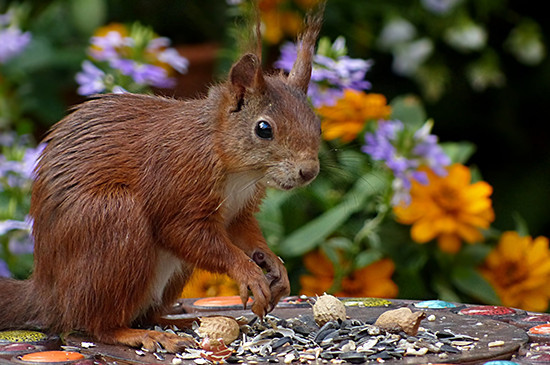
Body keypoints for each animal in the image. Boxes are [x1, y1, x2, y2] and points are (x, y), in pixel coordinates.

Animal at [0, 1, 326, 352]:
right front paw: (248, 271)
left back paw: (182, 323)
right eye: (264, 129)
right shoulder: (177, 179)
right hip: (112, 219)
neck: (238, 170)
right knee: (96, 325)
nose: (309, 171)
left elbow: (244, 232)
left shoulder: (239, 208)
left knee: (146, 313)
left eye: (317, 123)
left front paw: (273, 264)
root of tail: (48, 294)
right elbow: (184, 232)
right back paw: (138, 334)